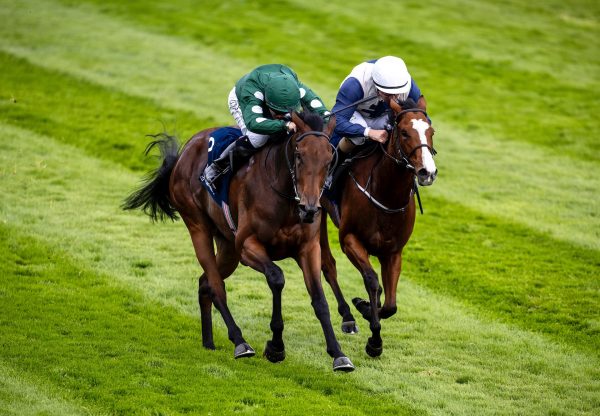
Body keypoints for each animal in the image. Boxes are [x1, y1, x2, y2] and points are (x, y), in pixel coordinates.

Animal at [123, 110, 354, 370]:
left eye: (328, 160)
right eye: (299, 155)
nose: (310, 208)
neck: (285, 196)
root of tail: (185, 151)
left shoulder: (308, 248)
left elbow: (320, 300)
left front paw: (338, 353)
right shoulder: (247, 246)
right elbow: (276, 278)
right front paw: (275, 346)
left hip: (227, 246)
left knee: (204, 282)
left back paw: (209, 342)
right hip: (198, 226)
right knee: (216, 285)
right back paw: (240, 341)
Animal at [322, 98, 438, 358]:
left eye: (431, 131)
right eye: (404, 132)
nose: (428, 172)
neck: (386, 194)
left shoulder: (393, 252)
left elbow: (391, 304)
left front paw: (368, 307)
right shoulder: (350, 240)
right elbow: (372, 281)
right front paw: (374, 340)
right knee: (328, 265)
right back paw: (347, 316)